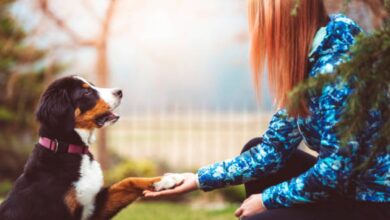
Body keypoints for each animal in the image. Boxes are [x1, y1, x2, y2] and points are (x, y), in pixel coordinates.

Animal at [0, 76, 179, 220]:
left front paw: (164, 180)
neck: (71, 149)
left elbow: (127, 181)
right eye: (86, 92)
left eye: (92, 85)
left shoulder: (93, 206)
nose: (119, 91)